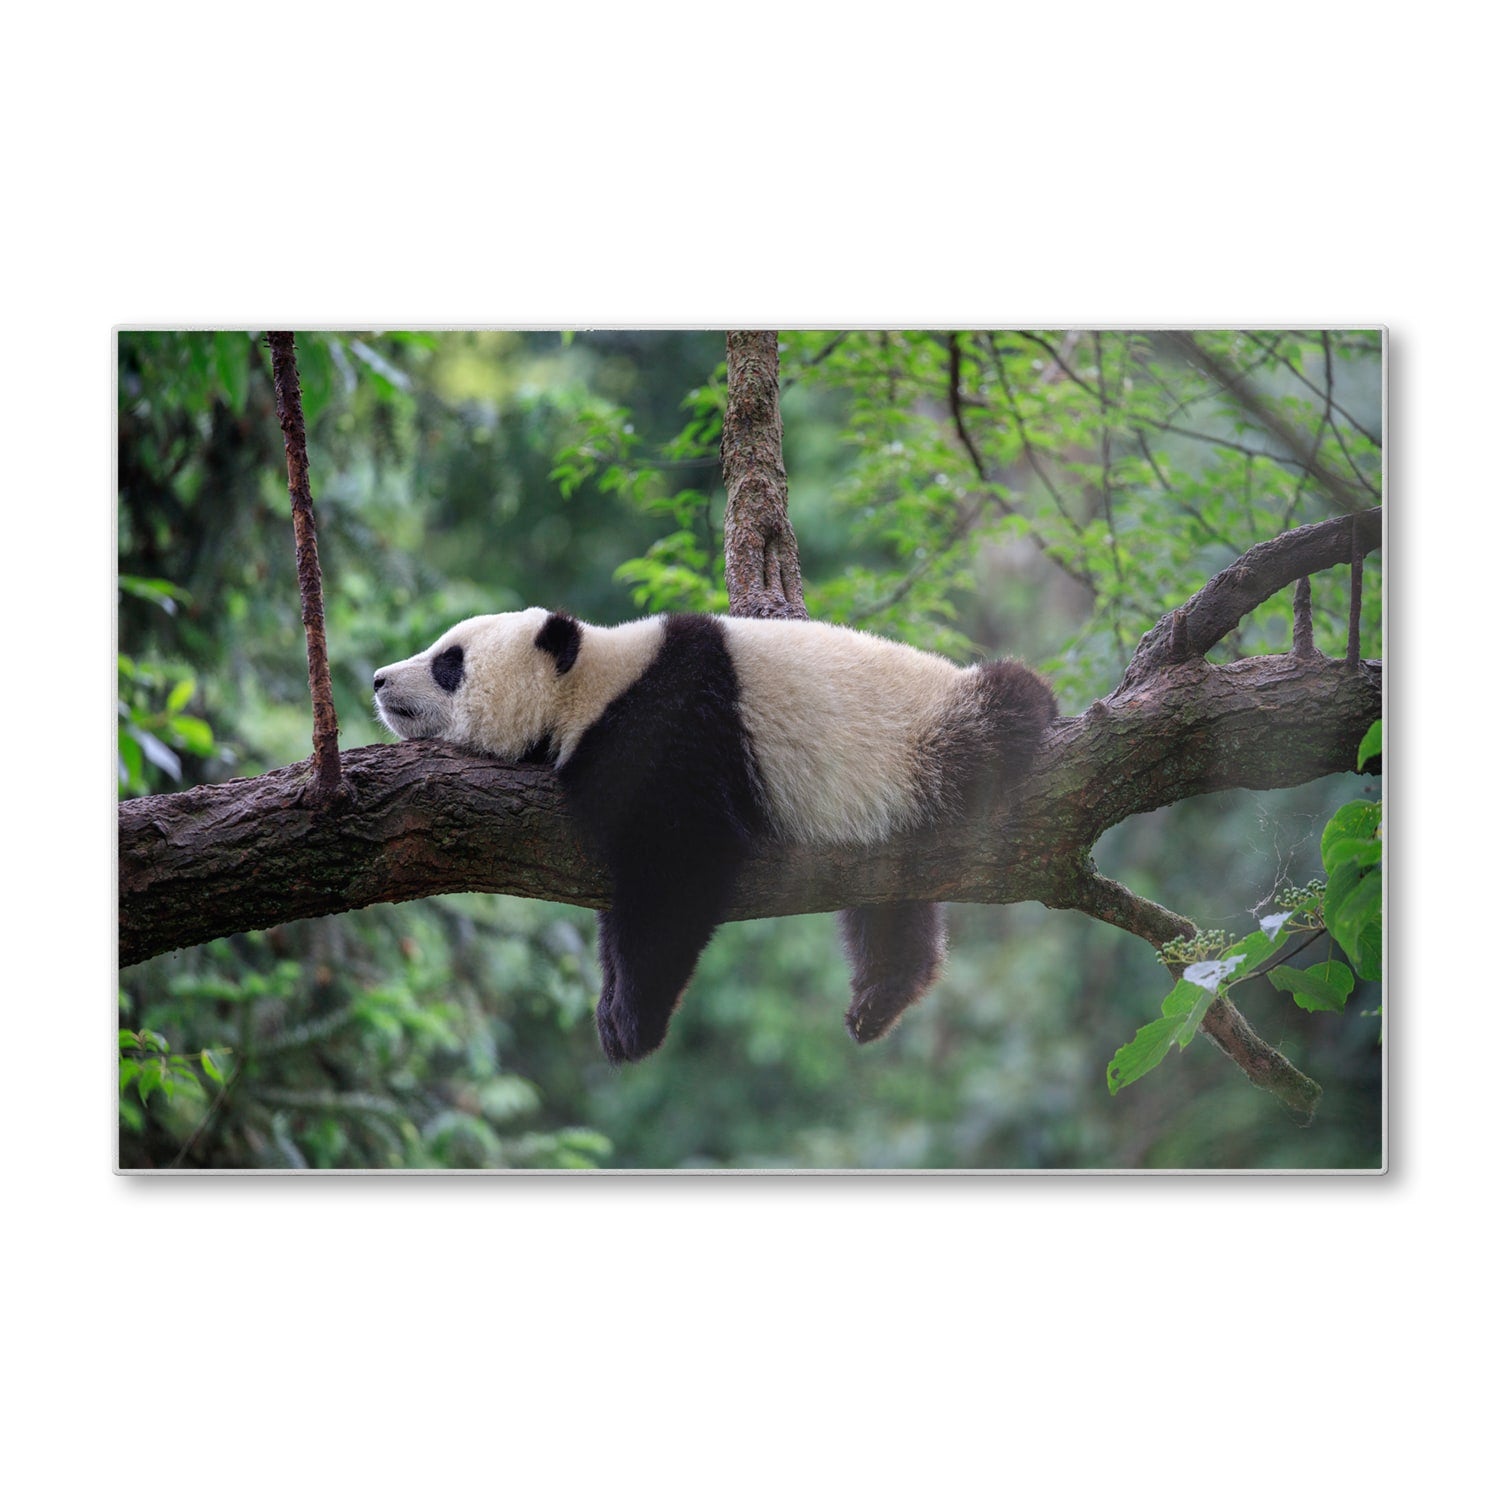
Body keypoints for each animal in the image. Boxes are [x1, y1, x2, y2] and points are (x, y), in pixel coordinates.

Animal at [374, 608, 1056, 1064]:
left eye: (449, 662)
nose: (379, 679)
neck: (594, 683)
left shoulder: (672, 730)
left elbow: (680, 869)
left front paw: (632, 1022)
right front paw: (611, 1006)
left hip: (923, 737)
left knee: (1000, 714)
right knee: (888, 903)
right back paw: (882, 994)